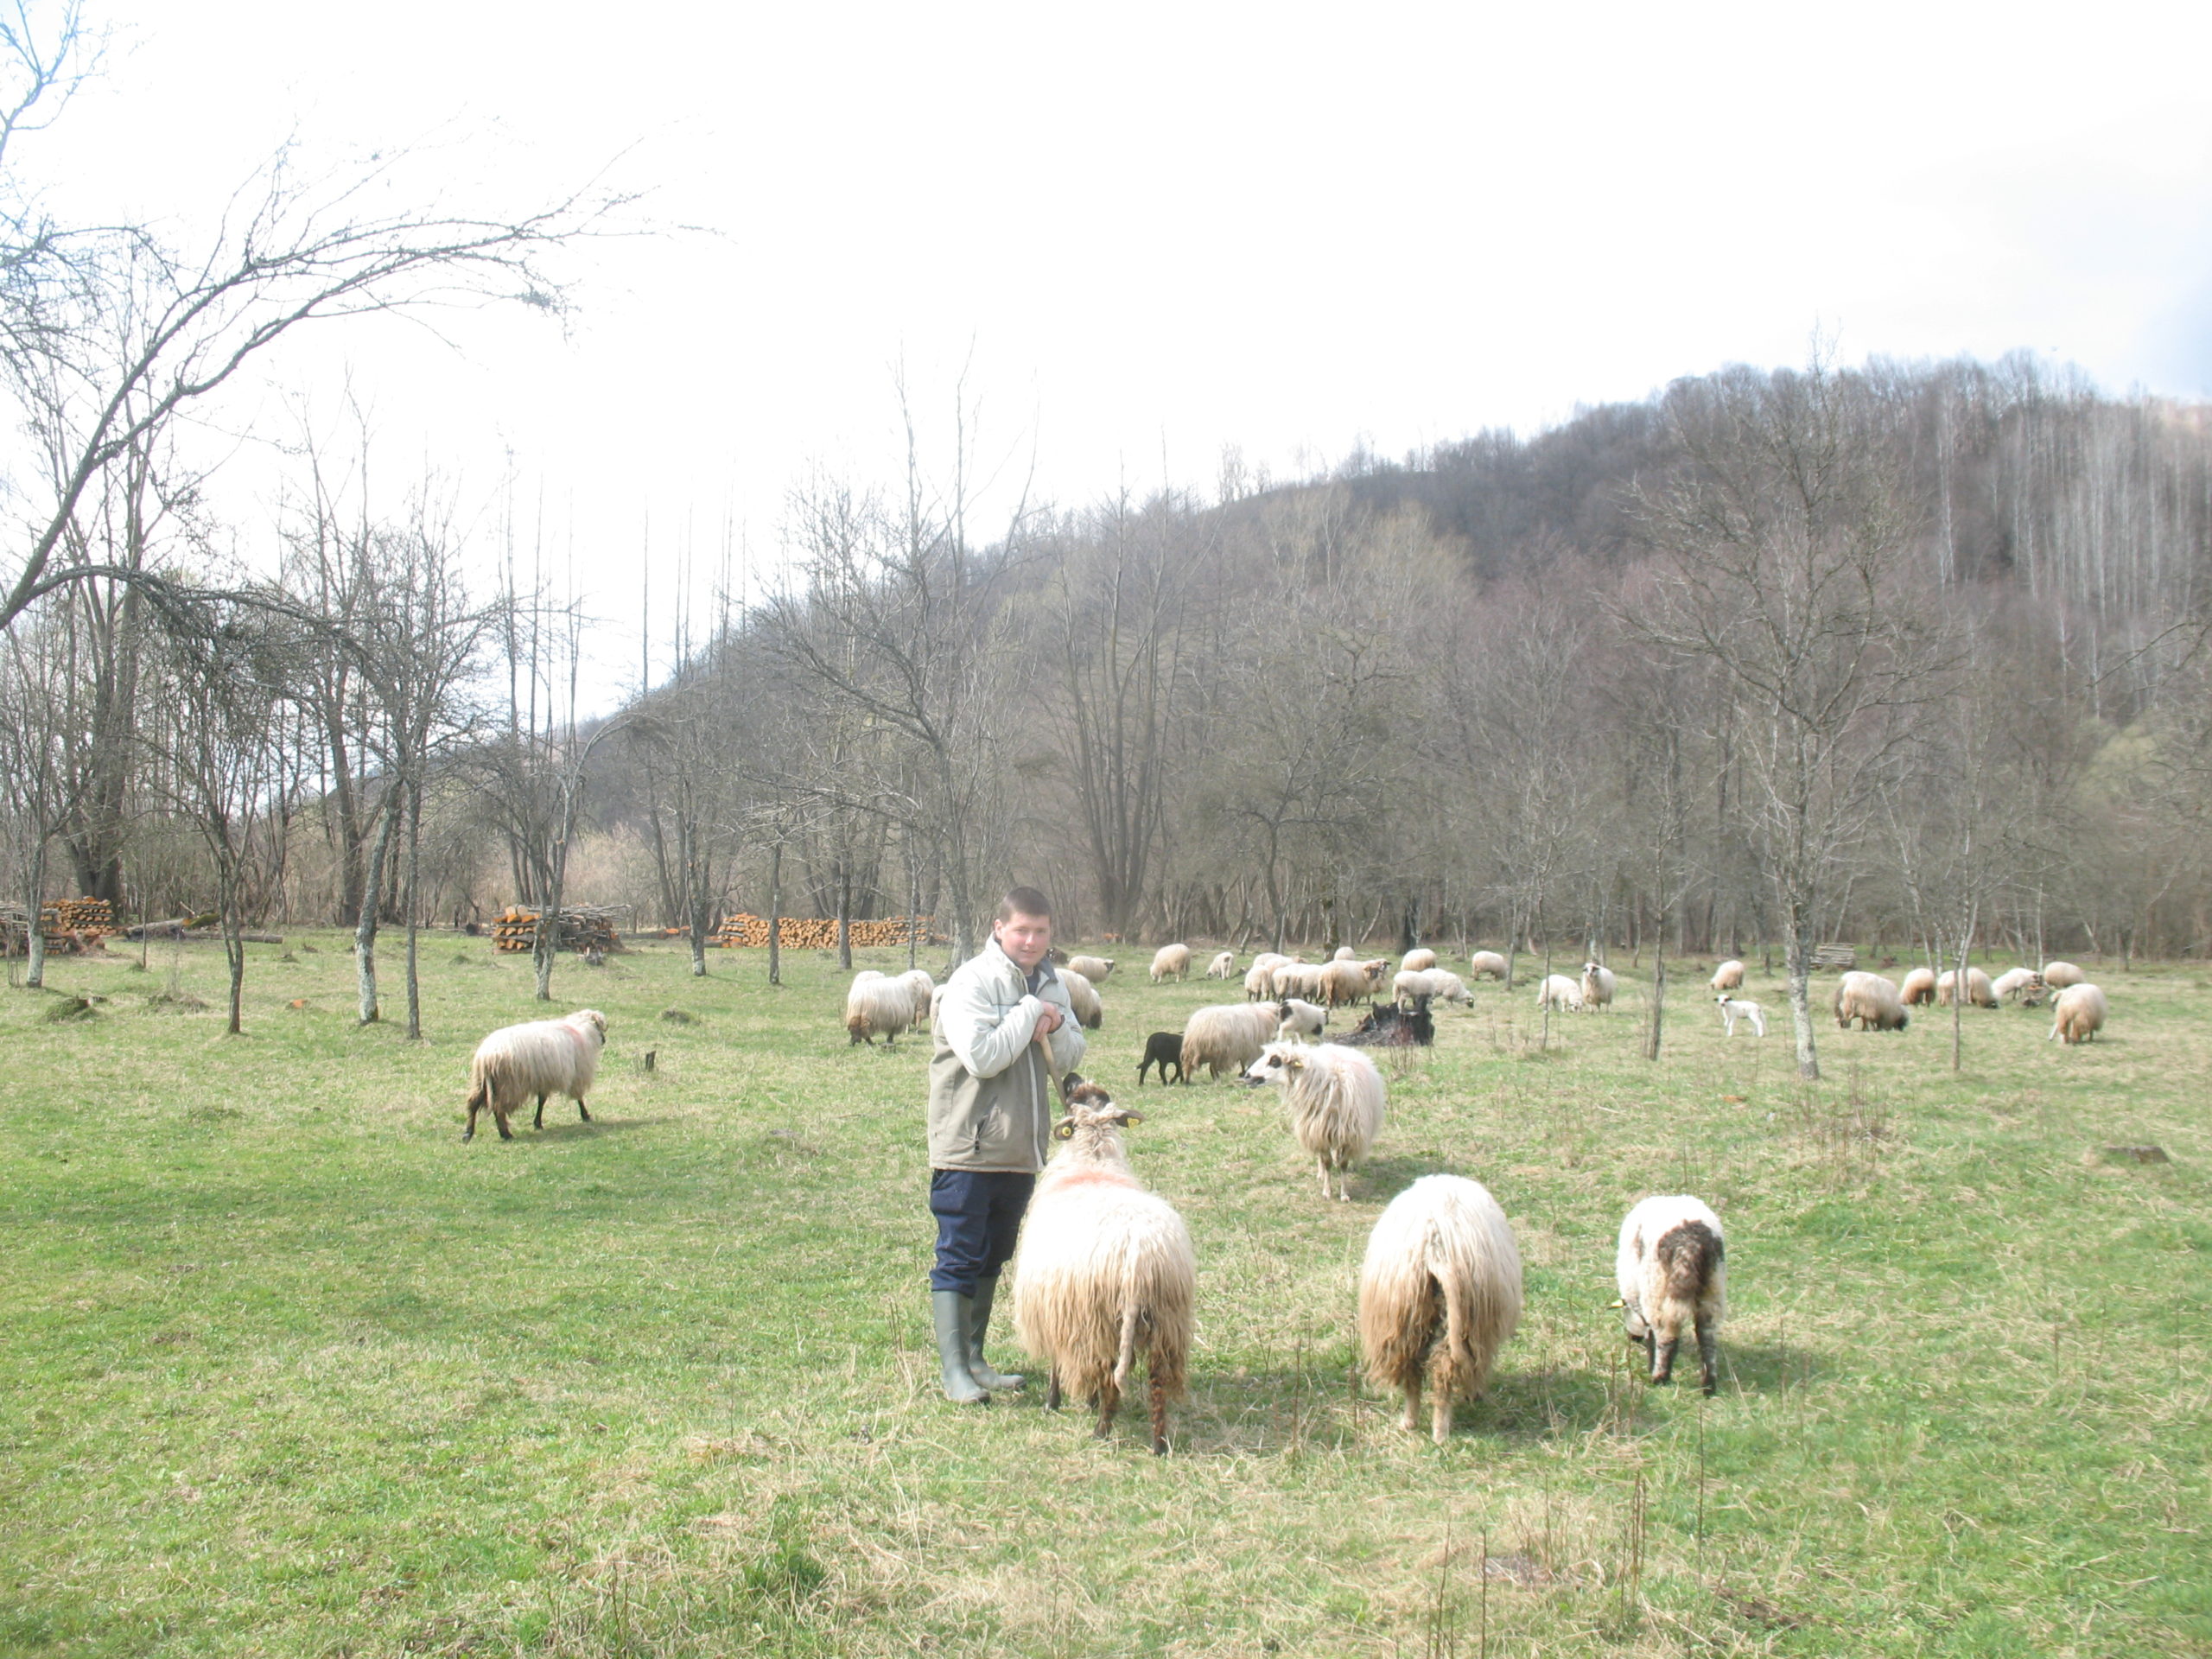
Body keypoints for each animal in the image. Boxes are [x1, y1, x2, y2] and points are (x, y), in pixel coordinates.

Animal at [463, 1009, 606, 1142]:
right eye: (600, 1026)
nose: (604, 1041)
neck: (582, 1029)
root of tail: (486, 1056)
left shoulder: (544, 1079)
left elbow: (542, 1101)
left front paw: (538, 1123)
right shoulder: (578, 1075)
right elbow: (579, 1097)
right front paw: (585, 1115)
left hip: (481, 1081)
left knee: (473, 1103)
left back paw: (468, 1133)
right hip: (508, 1084)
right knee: (498, 1109)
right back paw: (506, 1134)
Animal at [1011, 1075, 1195, 1455]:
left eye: (1071, 1095)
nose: (1071, 1077)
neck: (1093, 1162)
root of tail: (1140, 1256)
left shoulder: (1058, 1310)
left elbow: (1057, 1362)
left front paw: (1053, 1401)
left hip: (1099, 1320)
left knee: (1108, 1374)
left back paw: (1101, 1428)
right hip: (1166, 1320)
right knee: (1158, 1382)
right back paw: (1158, 1443)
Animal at [1242, 1041, 1386, 1201]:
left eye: (1275, 1061)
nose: (1246, 1076)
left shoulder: (1348, 1136)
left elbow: (1343, 1164)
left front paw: (1344, 1194)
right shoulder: (1318, 1134)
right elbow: (1327, 1162)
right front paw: (1327, 1191)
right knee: (1322, 1158)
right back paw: (1321, 1174)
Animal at [1359, 1174, 1523, 1442]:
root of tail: (1434, 1247)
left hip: (1405, 1317)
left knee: (1412, 1371)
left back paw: (1411, 1423)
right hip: (1462, 1320)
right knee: (1443, 1371)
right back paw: (1440, 1432)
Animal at [1616, 1195, 1727, 1394]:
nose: (1633, 1338)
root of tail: (1692, 1242)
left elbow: (1650, 1332)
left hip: (1658, 1288)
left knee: (1667, 1335)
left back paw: (1660, 1377)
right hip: (1713, 1287)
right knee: (1707, 1336)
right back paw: (1708, 1385)